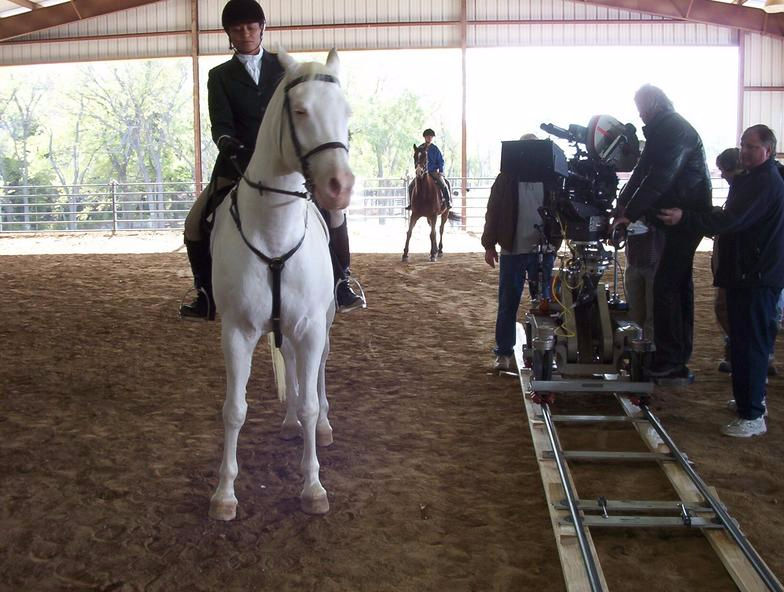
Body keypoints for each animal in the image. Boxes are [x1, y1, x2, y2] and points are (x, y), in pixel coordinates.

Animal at [207, 49, 354, 521]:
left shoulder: (310, 327)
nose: (340, 188)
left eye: (346, 113)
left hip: (322, 323)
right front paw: (224, 494)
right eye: (301, 110)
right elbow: (234, 410)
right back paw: (288, 423)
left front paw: (313, 488)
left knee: (318, 372)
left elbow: (309, 401)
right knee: (289, 362)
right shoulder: (237, 331)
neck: (274, 232)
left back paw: (321, 426)